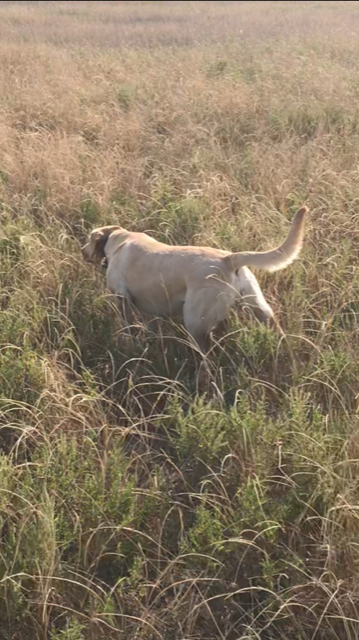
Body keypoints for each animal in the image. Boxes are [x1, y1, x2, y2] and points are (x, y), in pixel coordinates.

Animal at [82, 206, 310, 352]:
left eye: (88, 239)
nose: (82, 250)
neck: (119, 240)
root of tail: (228, 259)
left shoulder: (122, 297)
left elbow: (128, 326)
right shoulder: (154, 309)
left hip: (194, 322)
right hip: (260, 310)